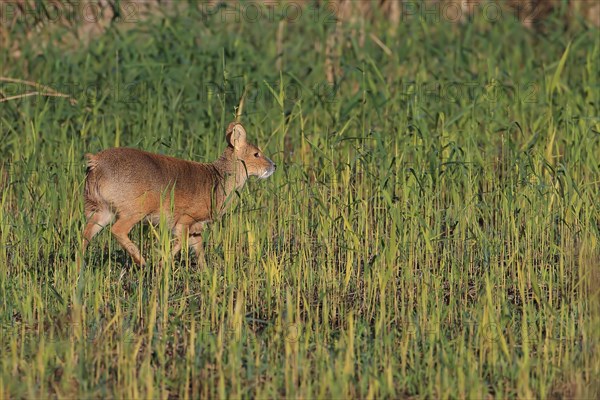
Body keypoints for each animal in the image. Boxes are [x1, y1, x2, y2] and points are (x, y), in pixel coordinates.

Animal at [81, 122, 276, 266]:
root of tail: (95, 162)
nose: (274, 166)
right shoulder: (184, 220)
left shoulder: (196, 225)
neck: (218, 181)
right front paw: (160, 264)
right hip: (134, 209)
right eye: (256, 153)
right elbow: (181, 243)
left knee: (85, 234)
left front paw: (206, 273)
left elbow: (199, 250)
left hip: (101, 209)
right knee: (117, 230)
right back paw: (142, 262)